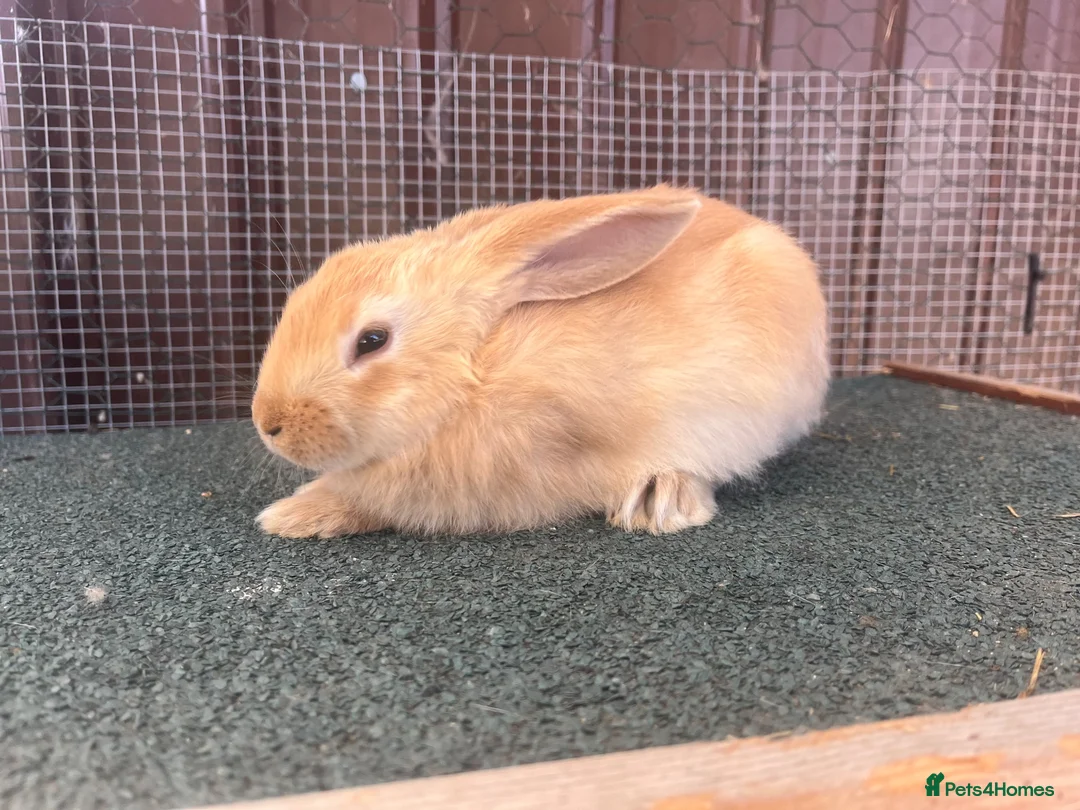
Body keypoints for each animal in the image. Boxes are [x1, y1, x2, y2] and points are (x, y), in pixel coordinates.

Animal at [250, 184, 830, 539]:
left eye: (372, 340)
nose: (267, 423)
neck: (477, 378)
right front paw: (293, 513)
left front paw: (291, 514)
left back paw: (661, 499)